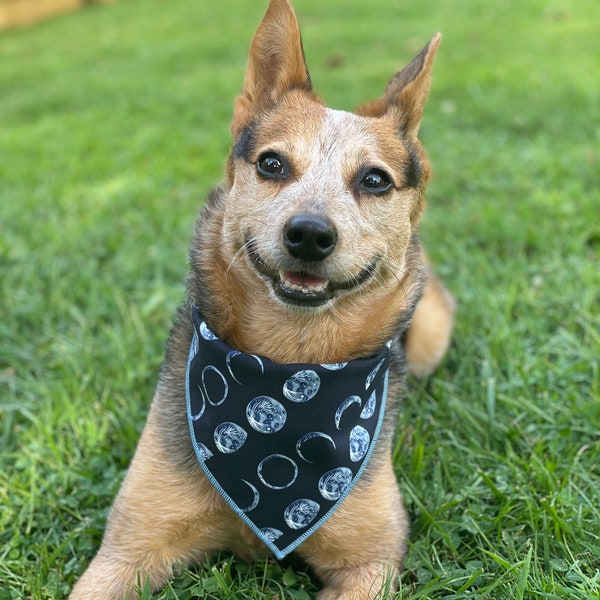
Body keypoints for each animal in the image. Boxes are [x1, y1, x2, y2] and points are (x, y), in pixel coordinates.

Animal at [69, 1, 454, 600]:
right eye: (272, 164)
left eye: (375, 180)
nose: (310, 233)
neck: (290, 362)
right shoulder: (126, 551)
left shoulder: (370, 564)